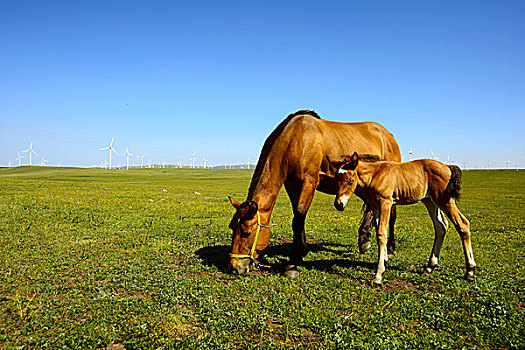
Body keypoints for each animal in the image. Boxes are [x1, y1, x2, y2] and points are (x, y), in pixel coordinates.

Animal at [226, 110, 402, 276]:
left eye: (246, 233)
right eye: (232, 229)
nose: (234, 267)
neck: (296, 140)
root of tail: (388, 135)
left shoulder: (309, 182)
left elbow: (299, 216)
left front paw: (292, 265)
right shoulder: (292, 185)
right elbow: (297, 218)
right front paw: (301, 251)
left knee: (391, 215)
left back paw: (390, 249)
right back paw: (364, 240)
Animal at [330, 152, 476, 286]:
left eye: (350, 181)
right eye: (336, 180)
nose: (339, 204)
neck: (375, 174)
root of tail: (448, 167)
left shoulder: (386, 202)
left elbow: (381, 233)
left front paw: (378, 275)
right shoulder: (376, 207)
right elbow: (379, 232)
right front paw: (384, 259)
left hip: (444, 200)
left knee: (463, 224)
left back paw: (470, 271)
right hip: (430, 201)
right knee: (441, 227)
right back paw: (429, 267)